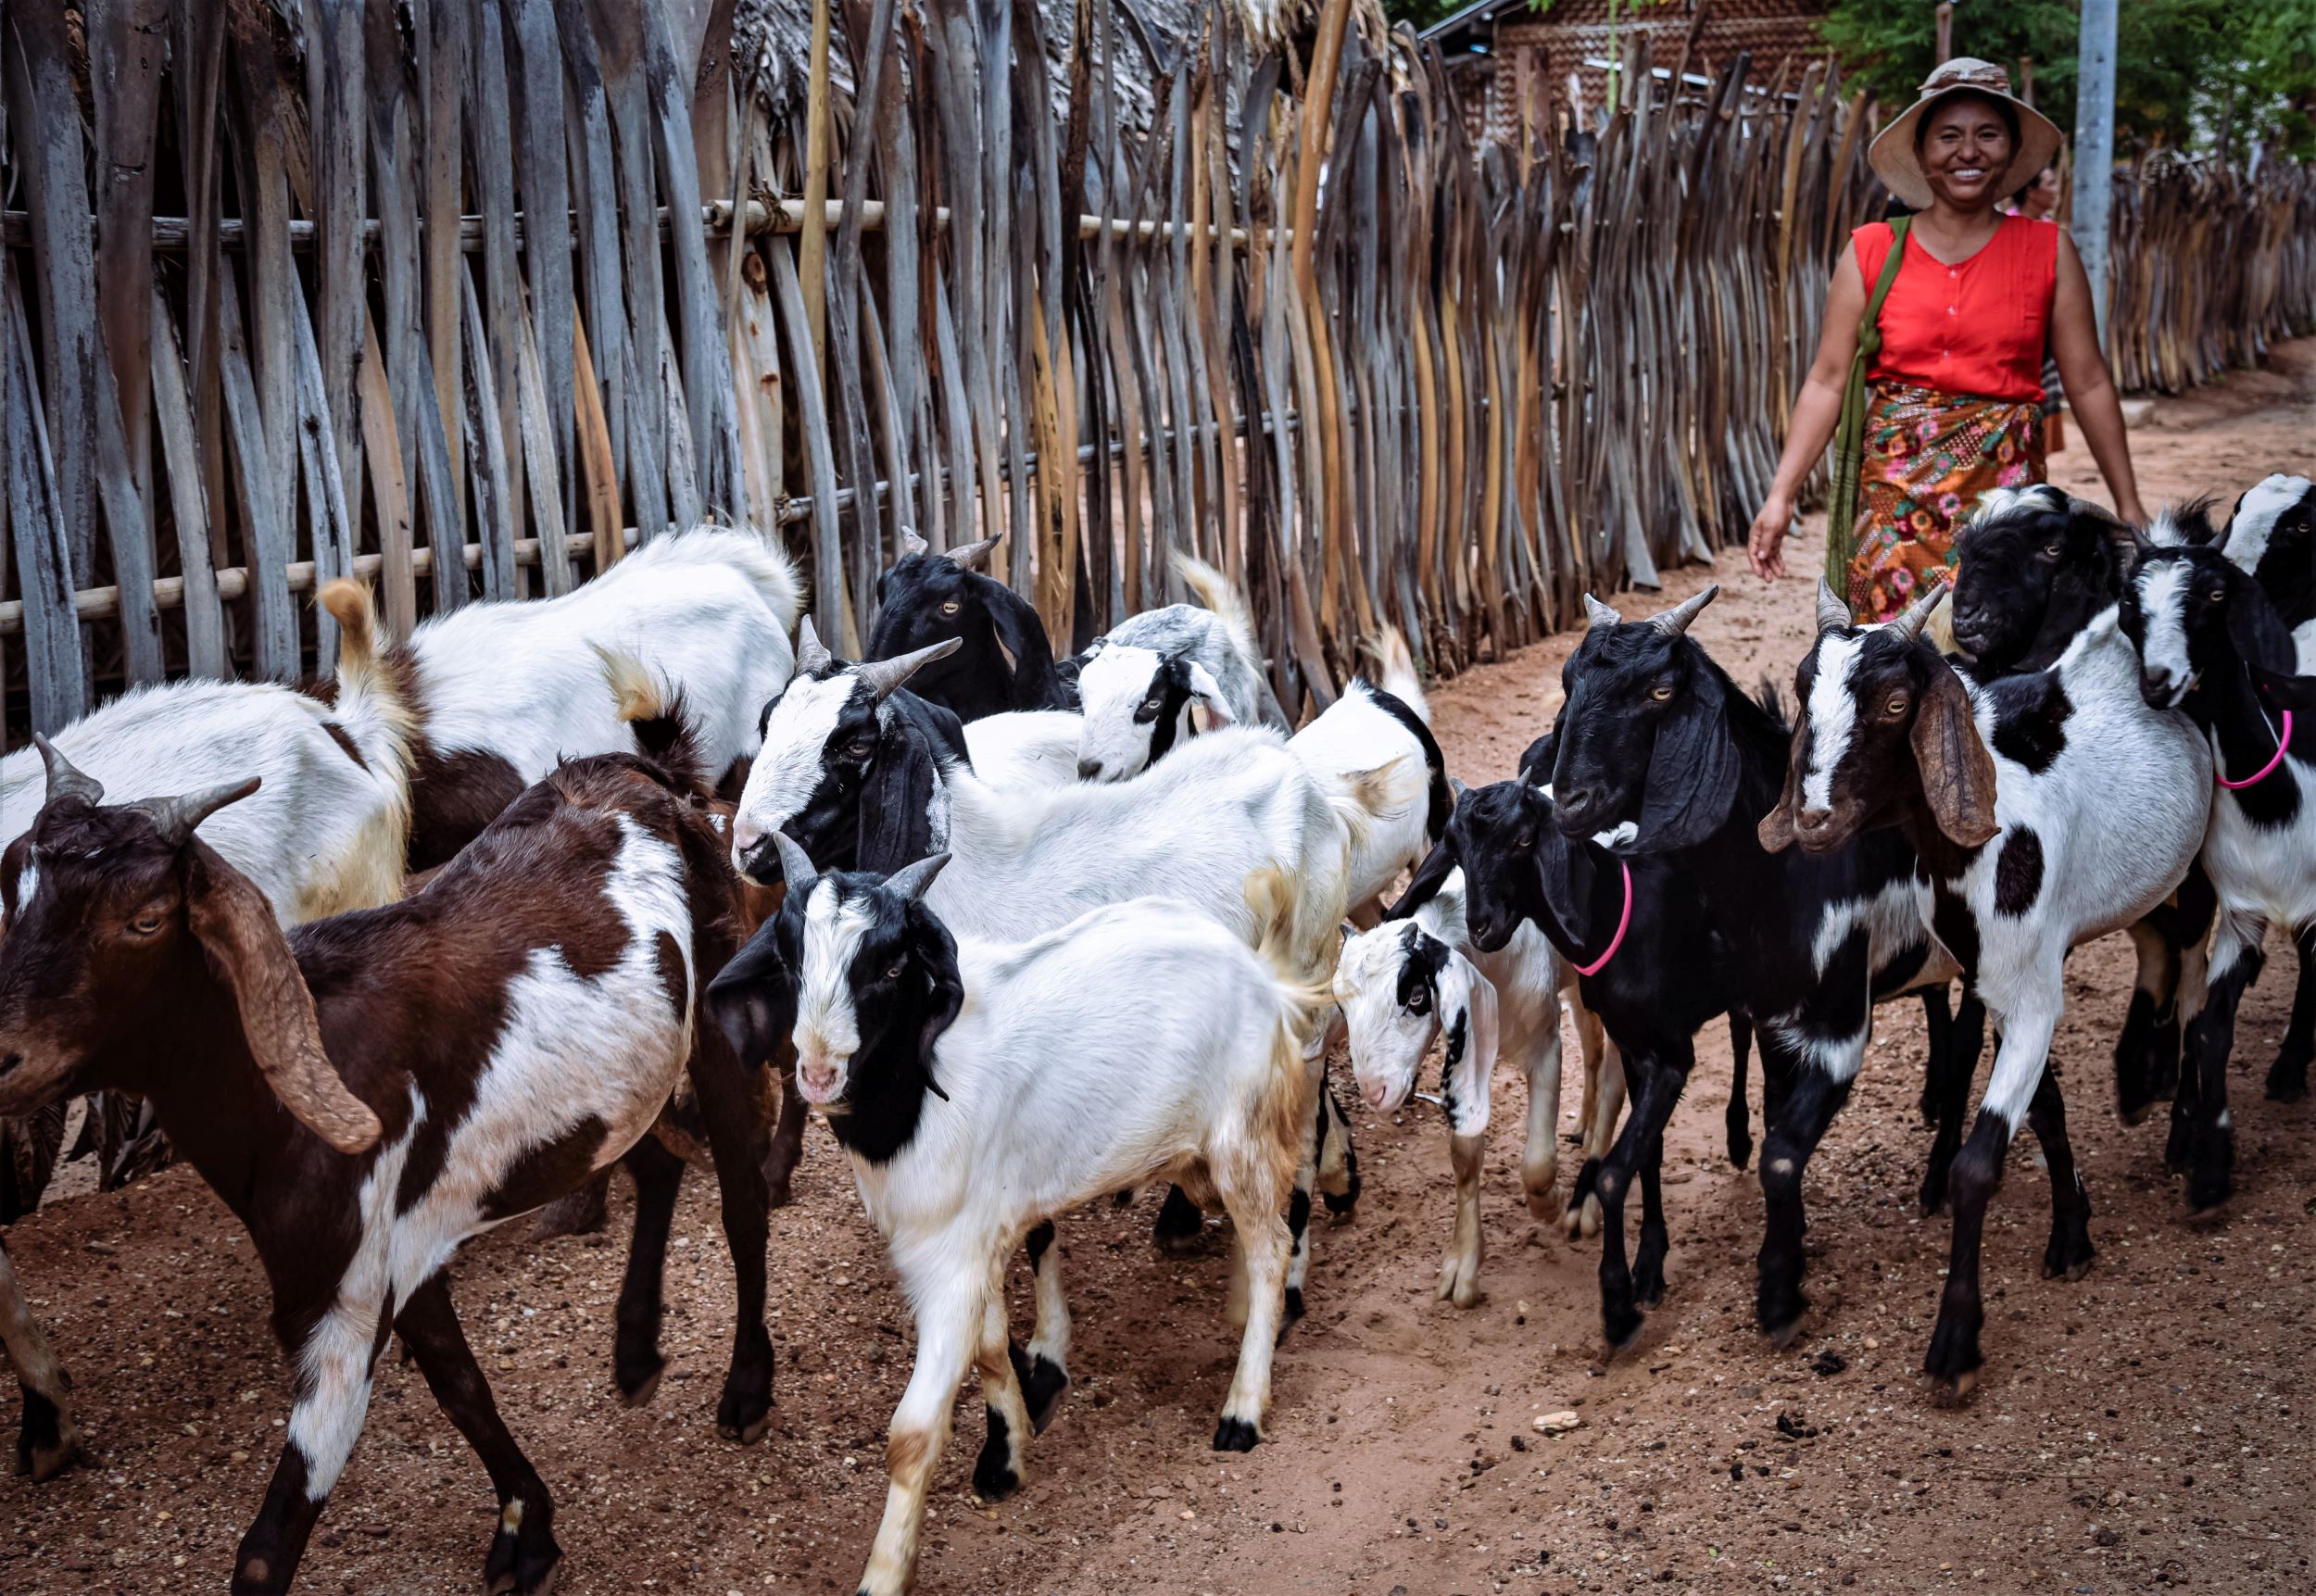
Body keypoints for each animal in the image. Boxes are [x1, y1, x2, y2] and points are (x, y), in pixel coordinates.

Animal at [0, 741, 778, 1584]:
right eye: (16, 899)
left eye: (144, 919)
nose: (3, 1056)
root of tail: (635, 770)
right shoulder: (402, 1252)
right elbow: (459, 1382)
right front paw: (528, 1528)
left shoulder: (344, 1305)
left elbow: (272, 1544)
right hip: (622, 1081)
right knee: (656, 1165)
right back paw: (635, 1354)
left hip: (717, 1013)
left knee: (741, 1203)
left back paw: (747, 1390)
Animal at [704, 834, 1325, 1593]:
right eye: (792, 957)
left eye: (893, 963)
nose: (819, 1073)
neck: (925, 1089)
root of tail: (1265, 978)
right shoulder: (980, 1237)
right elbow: (994, 1347)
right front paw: (1008, 1454)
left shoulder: (948, 1261)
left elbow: (912, 1433)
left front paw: (885, 1572)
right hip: (1204, 1158)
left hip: (1241, 1140)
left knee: (1270, 1243)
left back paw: (1243, 1406)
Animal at [1334, 866, 1621, 1297]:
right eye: (1340, 1006)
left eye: (1416, 995)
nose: (1375, 1092)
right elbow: (1465, 1159)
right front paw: (1464, 1267)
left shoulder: (1544, 1041)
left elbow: (1537, 1164)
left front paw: (1551, 1204)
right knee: (1591, 1040)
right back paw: (1582, 1125)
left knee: (1614, 1087)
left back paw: (1587, 1204)